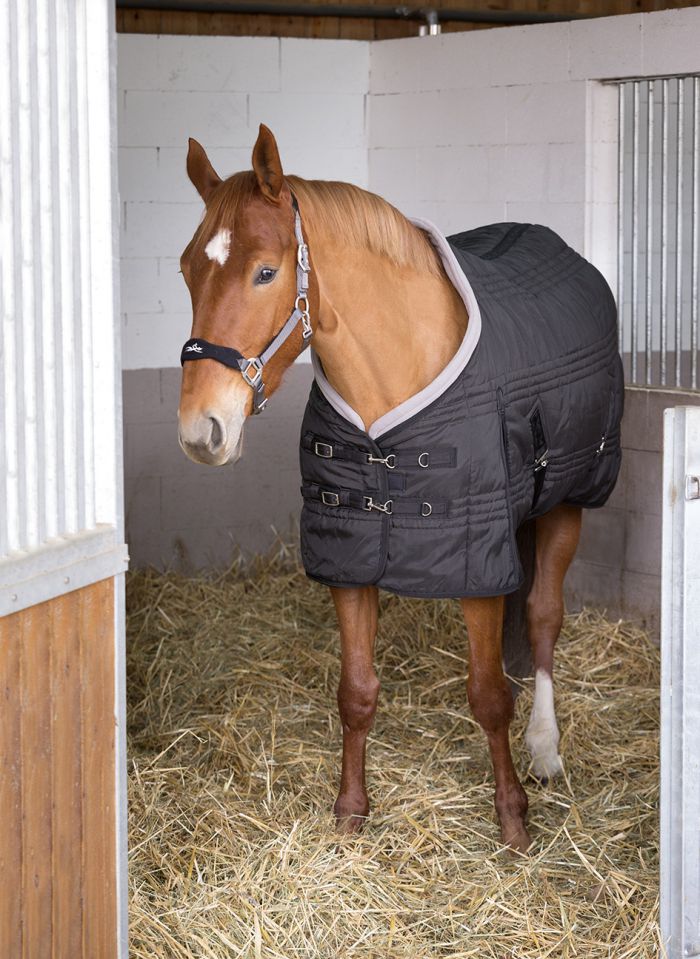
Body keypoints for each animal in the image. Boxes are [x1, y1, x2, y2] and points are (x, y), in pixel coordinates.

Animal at [177, 124, 622, 853]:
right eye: (188, 269)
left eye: (265, 271)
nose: (201, 430)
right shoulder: (350, 556)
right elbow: (356, 691)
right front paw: (350, 813)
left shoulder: (475, 564)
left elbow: (487, 694)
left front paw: (512, 817)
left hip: (568, 503)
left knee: (543, 617)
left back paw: (545, 747)